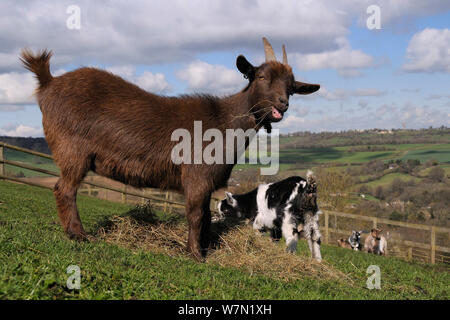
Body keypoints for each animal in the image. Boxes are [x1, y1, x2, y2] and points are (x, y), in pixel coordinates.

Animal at [21, 38, 320, 262]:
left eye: (292, 87)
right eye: (260, 75)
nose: (282, 103)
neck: (224, 121)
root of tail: (48, 83)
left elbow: (207, 217)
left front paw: (206, 248)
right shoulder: (197, 177)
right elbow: (196, 215)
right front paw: (196, 255)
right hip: (73, 150)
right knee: (64, 189)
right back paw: (78, 235)